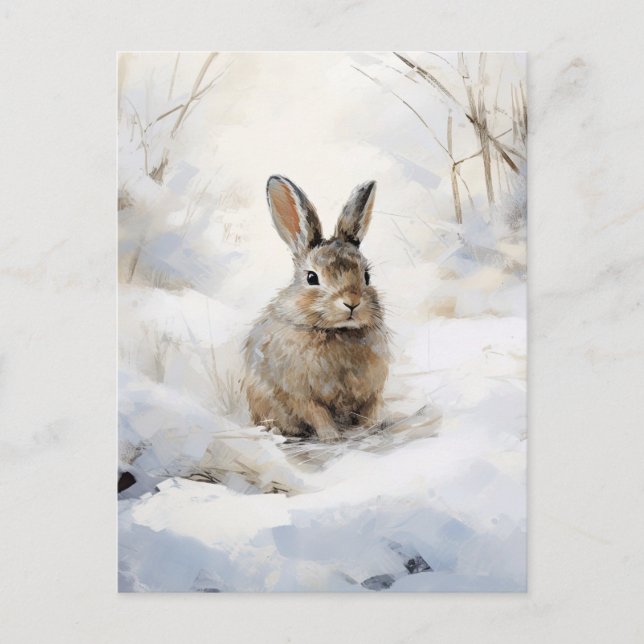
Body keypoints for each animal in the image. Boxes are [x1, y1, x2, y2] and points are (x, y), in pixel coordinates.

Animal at [244, 175, 389, 443]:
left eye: (366, 276)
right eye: (312, 278)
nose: (352, 301)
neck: (337, 332)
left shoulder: (372, 391)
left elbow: (370, 410)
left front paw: (372, 429)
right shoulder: (299, 394)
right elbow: (318, 414)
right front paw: (332, 437)